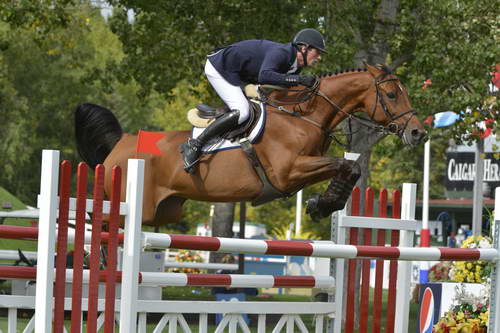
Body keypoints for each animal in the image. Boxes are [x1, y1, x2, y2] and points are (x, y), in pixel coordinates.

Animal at [75, 63, 426, 226]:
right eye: (391, 94)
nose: (417, 134)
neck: (304, 116)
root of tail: (122, 143)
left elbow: (349, 168)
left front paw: (322, 205)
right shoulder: (288, 172)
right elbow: (347, 164)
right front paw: (323, 204)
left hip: (163, 212)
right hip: (133, 206)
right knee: (98, 225)